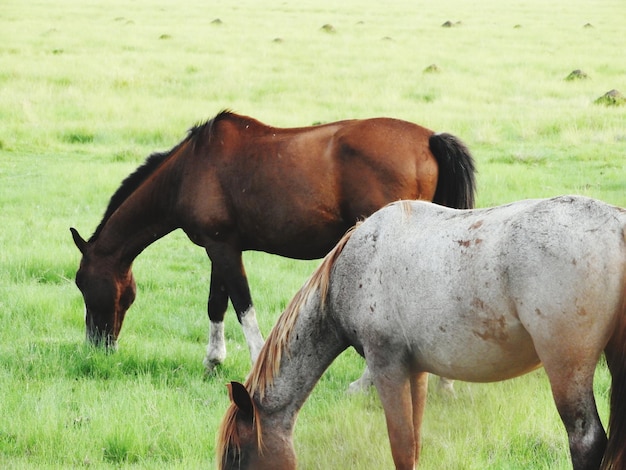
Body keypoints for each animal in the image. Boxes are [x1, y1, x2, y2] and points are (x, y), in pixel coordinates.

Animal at [70, 109, 476, 370]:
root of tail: (429, 138)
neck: (189, 170)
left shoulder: (223, 249)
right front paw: (213, 361)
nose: (96, 345)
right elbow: (217, 305)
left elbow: (242, 306)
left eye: (82, 283)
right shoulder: (221, 248)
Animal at [216, 196, 624, 470]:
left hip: (566, 370)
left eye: (236, 454)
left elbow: (401, 445)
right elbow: (414, 444)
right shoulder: (416, 371)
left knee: (587, 441)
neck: (350, 270)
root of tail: (617, 226)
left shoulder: (387, 367)